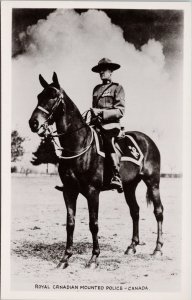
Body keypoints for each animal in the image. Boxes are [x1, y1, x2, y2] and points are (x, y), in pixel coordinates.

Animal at [28, 73, 164, 270]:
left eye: (53, 96)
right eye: (39, 96)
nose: (33, 123)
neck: (78, 144)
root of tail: (148, 140)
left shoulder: (93, 192)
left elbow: (93, 224)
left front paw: (94, 258)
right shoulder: (69, 191)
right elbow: (70, 223)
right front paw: (65, 258)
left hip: (153, 182)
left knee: (158, 211)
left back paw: (158, 249)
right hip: (129, 186)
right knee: (135, 211)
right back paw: (132, 246)